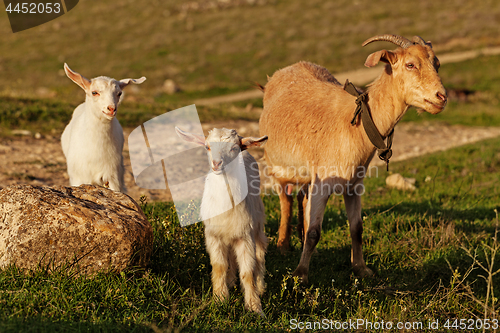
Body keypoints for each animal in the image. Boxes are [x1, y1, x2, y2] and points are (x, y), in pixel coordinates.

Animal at [176, 126, 270, 314]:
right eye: (207, 147)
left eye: (234, 148)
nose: (216, 164)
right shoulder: (213, 235)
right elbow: (219, 267)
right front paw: (220, 300)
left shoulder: (245, 235)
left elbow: (248, 272)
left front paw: (254, 307)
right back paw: (231, 282)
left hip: (257, 223)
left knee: (261, 251)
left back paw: (260, 287)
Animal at [260, 33, 448, 282]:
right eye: (410, 64)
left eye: (436, 63)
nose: (441, 97)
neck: (356, 123)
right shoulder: (323, 182)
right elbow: (314, 231)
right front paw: (300, 275)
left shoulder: (353, 185)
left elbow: (356, 228)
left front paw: (361, 268)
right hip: (277, 166)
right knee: (285, 198)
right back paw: (283, 244)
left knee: (303, 199)